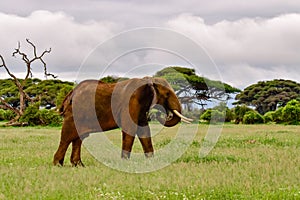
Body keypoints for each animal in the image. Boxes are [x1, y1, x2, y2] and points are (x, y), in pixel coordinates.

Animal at [52, 76, 192, 167]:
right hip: (75, 112)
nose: (163, 115)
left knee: (78, 138)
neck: (148, 80)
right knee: (67, 137)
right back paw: (58, 165)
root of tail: (71, 93)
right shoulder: (131, 102)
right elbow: (130, 128)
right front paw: (125, 163)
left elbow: (144, 130)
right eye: (167, 94)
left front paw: (152, 162)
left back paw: (79, 165)